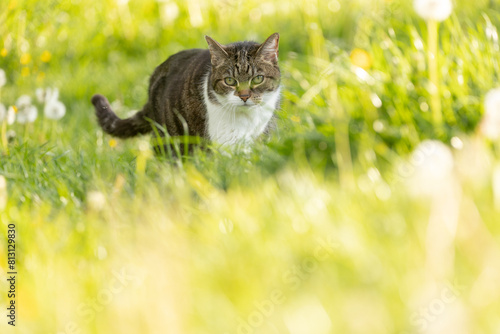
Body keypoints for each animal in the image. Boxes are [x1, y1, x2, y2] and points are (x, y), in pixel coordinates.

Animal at [91, 32, 282, 153]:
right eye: (229, 81)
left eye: (257, 79)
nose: (244, 96)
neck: (248, 120)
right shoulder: (223, 140)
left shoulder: (262, 134)